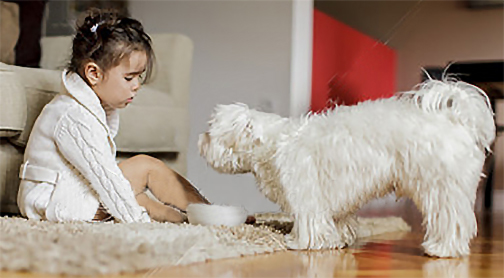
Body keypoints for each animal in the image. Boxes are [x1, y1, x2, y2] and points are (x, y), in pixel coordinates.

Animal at [198, 78, 496, 258]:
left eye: (210, 133)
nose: (200, 140)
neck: (272, 142)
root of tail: (456, 119)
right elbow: (338, 221)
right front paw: (339, 239)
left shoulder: (306, 193)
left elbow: (310, 222)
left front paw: (299, 243)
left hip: (441, 188)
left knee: (452, 221)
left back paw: (442, 248)